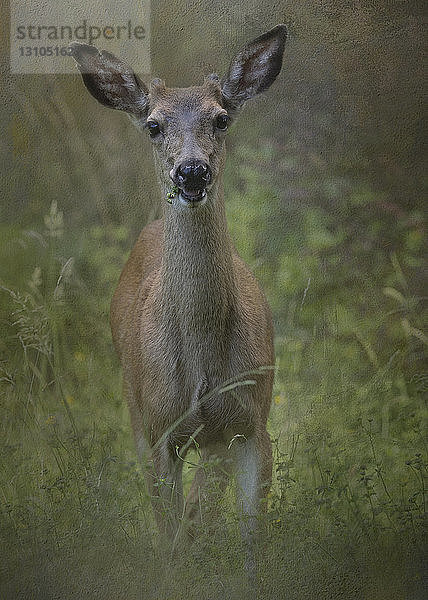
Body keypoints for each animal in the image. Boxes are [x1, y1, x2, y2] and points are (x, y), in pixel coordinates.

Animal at [70, 23, 288, 568]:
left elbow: (246, 534)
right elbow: (169, 529)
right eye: (152, 125)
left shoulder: (250, 422)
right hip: (134, 402)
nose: (191, 171)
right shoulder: (159, 430)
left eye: (222, 118)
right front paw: (176, 571)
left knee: (200, 502)